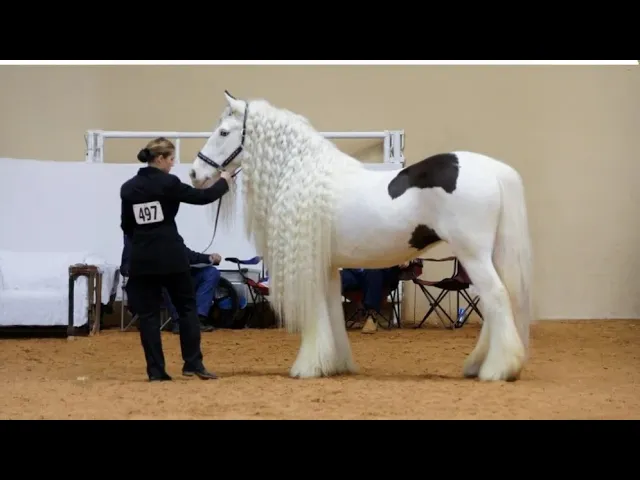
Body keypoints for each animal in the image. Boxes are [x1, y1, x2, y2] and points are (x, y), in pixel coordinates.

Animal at [188, 90, 534, 382]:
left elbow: (316, 314)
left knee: (497, 298)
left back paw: (497, 369)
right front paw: (334, 363)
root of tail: (493, 169)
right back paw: (480, 364)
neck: (302, 172)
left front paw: (307, 367)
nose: (194, 174)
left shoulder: (309, 264)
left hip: (473, 255)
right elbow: (331, 311)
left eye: (223, 133)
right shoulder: (330, 266)